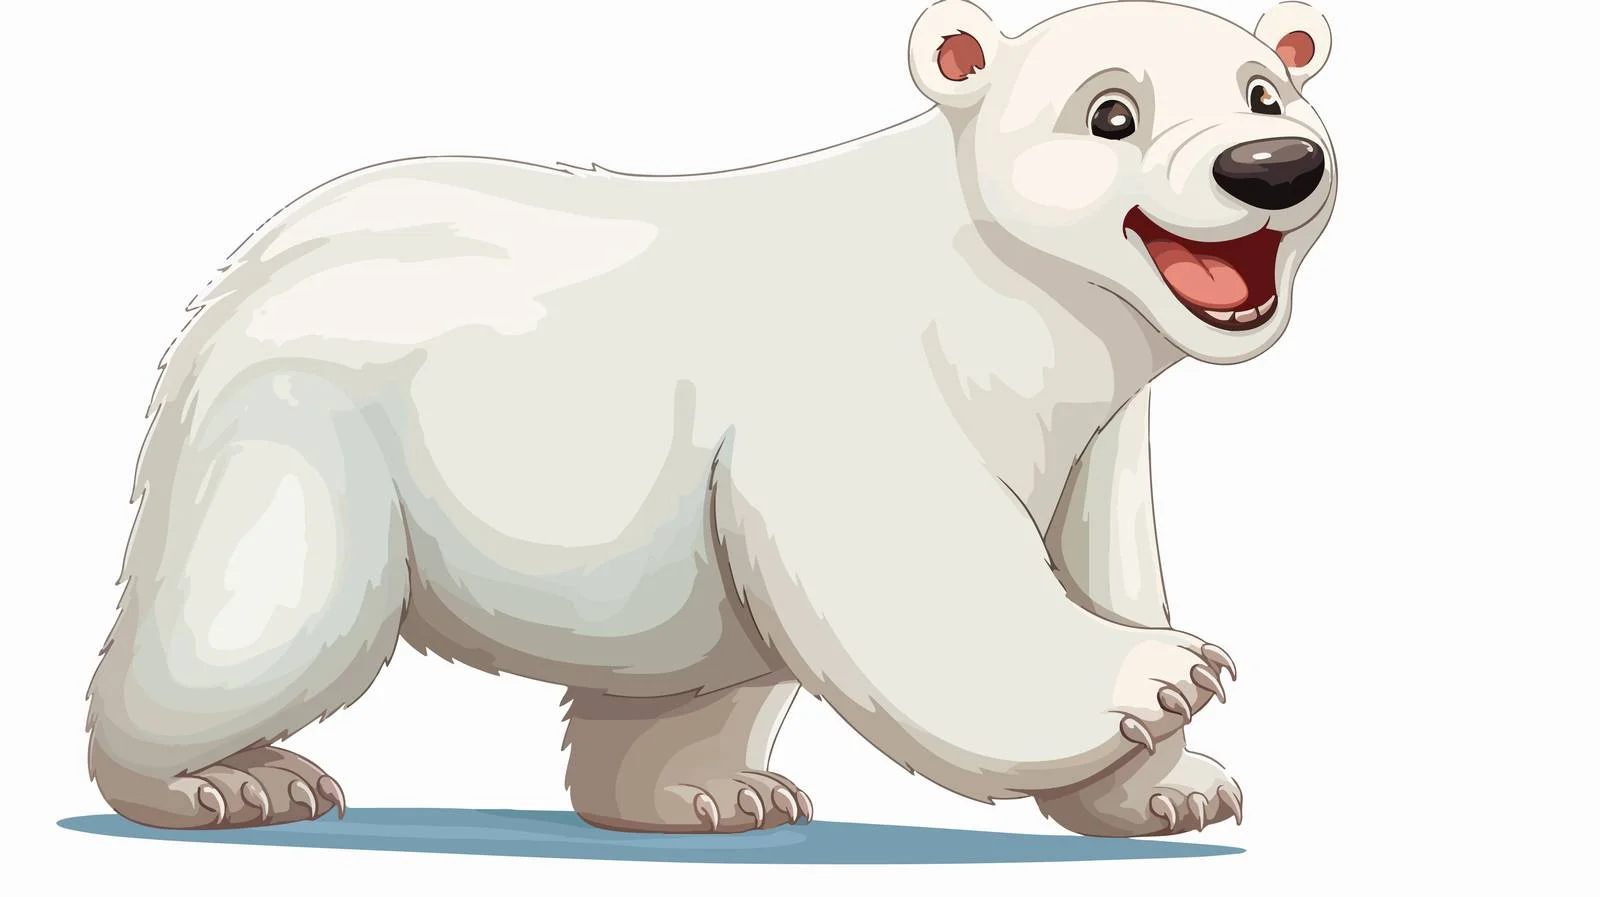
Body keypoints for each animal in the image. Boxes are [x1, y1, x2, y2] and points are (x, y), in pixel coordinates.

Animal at [84, 0, 1337, 838]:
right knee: (261, 620)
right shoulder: (863, 377)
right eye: (1111, 113)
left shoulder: (1102, 426)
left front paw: (1176, 786)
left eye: (1266, 90)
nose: (1271, 164)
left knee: (697, 671)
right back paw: (224, 779)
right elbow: (918, 562)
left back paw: (710, 791)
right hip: (301, 436)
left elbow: (1105, 558)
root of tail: (236, 278)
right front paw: (1162, 676)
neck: (1019, 300)